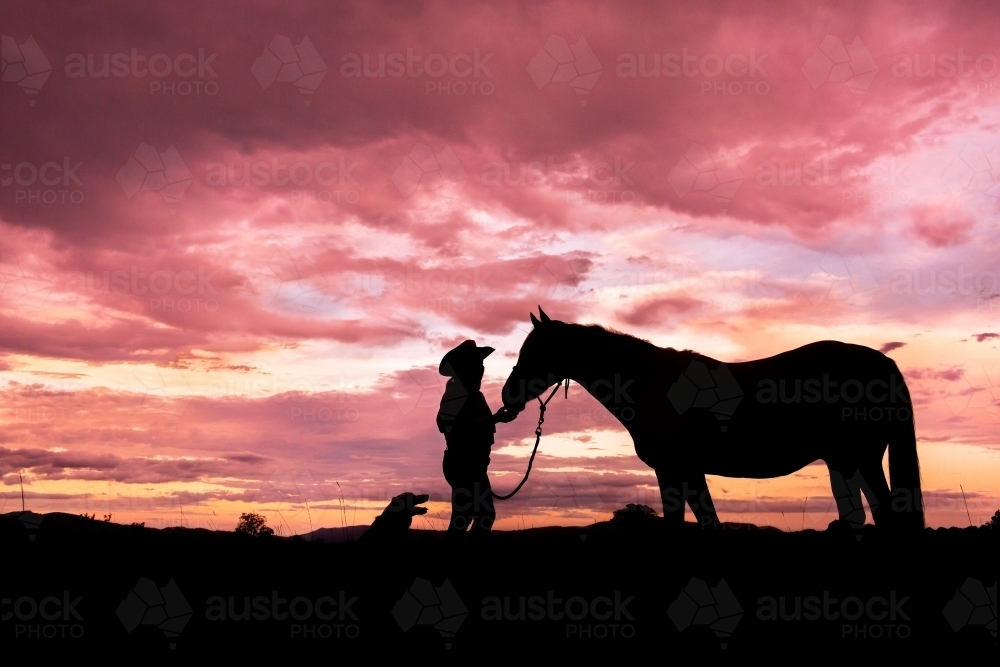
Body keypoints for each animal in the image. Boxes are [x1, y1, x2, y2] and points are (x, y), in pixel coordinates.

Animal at [504, 310, 924, 532]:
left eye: (538, 351)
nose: (507, 397)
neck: (650, 382)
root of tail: (884, 362)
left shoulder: (671, 470)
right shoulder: (691, 471)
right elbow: (709, 523)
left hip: (862, 458)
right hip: (848, 460)